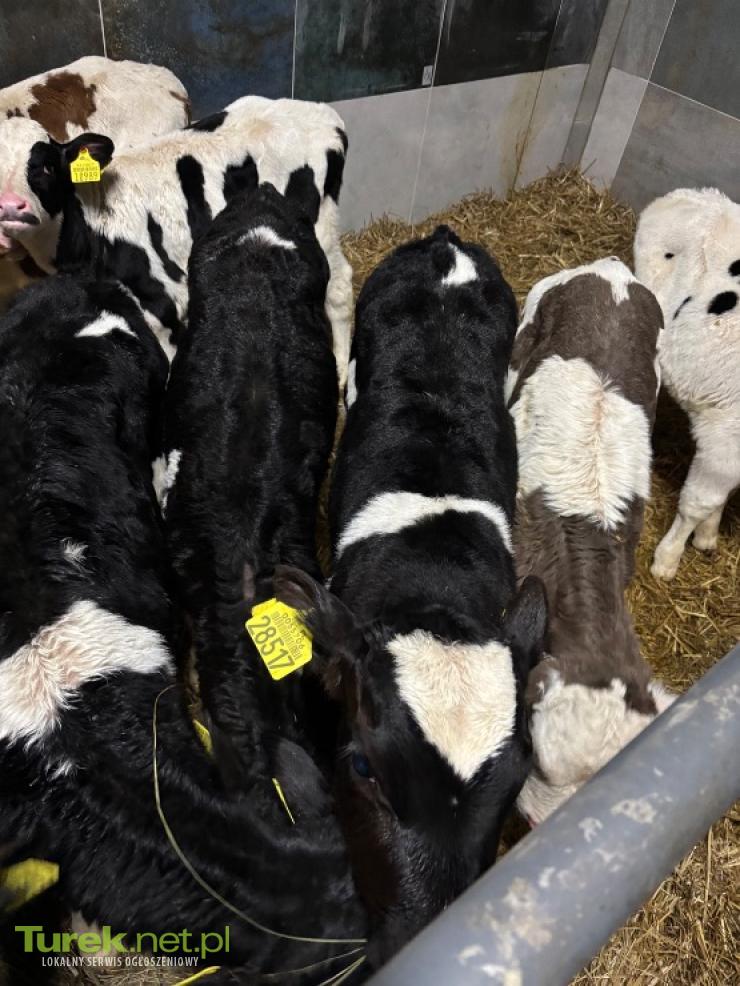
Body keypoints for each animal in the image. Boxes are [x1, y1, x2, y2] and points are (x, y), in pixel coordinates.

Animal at [0, 95, 352, 379]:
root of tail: (324, 115)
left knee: (339, 290)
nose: (10, 206)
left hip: (321, 226)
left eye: (46, 167)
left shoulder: (162, 305)